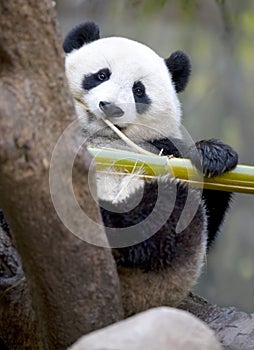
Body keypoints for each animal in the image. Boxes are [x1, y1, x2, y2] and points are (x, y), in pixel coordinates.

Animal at [63, 22, 238, 318]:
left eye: (139, 91)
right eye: (101, 75)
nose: (112, 108)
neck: (106, 138)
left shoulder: (161, 149)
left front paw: (214, 155)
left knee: (164, 215)